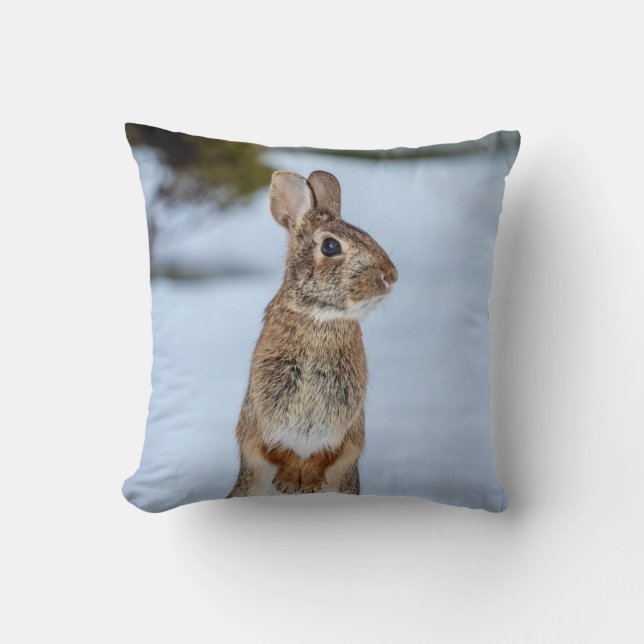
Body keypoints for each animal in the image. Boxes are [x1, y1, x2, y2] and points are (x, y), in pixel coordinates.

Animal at [228, 170, 398, 497]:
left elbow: (326, 454)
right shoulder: (265, 411)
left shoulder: (344, 420)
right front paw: (289, 483)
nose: (391, 275)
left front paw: (310, 484)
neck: (319, 316)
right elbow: (279, 451)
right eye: (330, 247)